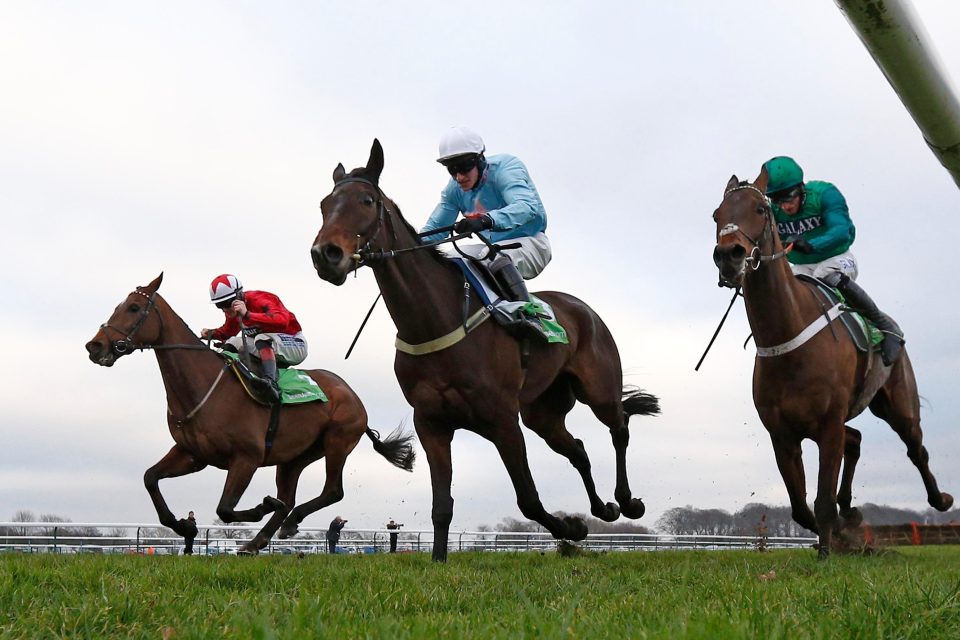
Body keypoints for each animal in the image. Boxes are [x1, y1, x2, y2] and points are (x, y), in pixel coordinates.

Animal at [90, 272, 416, 552]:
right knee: (289, 496)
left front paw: (261, 506)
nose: (94, 346)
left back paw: (287, 522)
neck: (205, 386)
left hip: (337, 442)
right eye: (119, 306)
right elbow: (150, 478)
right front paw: (182, 526)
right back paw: (260, 539)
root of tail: (353, 395)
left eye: (133, 308)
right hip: (294, 457)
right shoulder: (192, 454)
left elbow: (224, 508)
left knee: (332, 491)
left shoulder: (247, 457)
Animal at [312, 139, 656, 560]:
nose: (325, 254)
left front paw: (570, 528)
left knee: (619, 427)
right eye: (324, 205)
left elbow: (528, 499)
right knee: (577, 449)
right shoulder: (432, 424)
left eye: (366, 200)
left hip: (598, 389)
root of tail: (583, 309)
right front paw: (439, 560)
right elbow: (441, 506)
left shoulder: (503, 420)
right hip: (542, 413)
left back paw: (626, 501)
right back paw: (603, 509)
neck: (436, 320)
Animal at [712, 169, 952, 556]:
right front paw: (841, 530)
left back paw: (940, 499)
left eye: (760, 209)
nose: (728, 255)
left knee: (917, 449)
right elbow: (800, 507)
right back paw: (850, 510)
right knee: (855, 439)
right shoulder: (782, 434)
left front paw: (827, 552)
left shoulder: (827, 424)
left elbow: (822, 499)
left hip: (898, 405)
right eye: (716, 214)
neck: (788, 339)